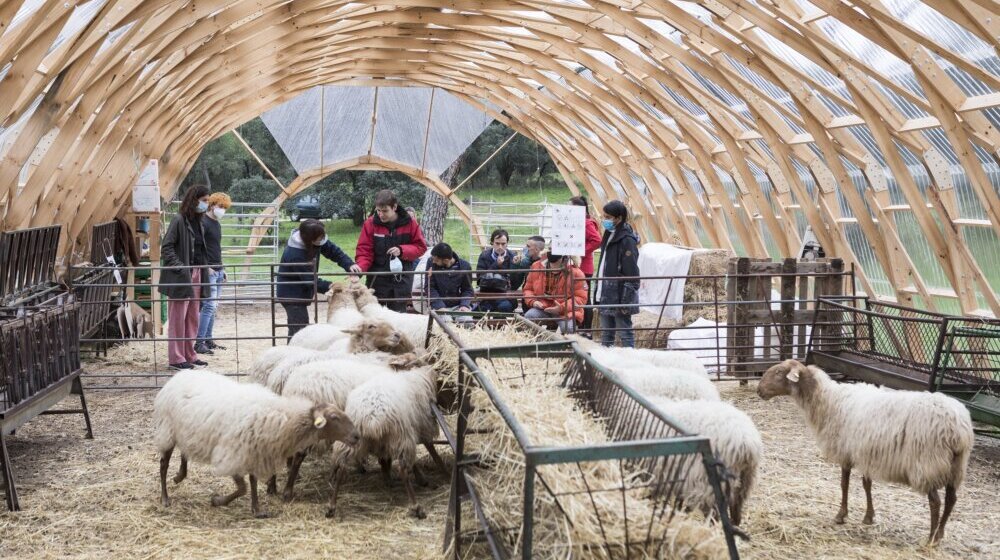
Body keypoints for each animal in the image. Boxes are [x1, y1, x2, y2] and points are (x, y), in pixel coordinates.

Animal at [152, 370, 360, 520]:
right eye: (334, 417)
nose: (357, 436)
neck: (285, 420)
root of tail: (178, 376)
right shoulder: (233, 454)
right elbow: (243, 487)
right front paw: (218, 501)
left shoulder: (254, 451)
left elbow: (251, 482)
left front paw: (256, 509)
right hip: (167, 430)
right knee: (163, 465)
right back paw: (165, 497)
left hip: (185, 431)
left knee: (184, 452)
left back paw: (179, 475)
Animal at [326, 364, 444, 520]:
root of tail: (371, 416)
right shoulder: (416, 428)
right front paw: (422, 478)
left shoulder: (383, 443)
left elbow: (384, 460)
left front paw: (387, 478)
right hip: (401, 436)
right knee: (403, 470)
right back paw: (416, 507)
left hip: (350, 439)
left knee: (341, 468)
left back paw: (331, 506)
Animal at [756, 360, 968, 544]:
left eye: (778, 372)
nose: (759, 390)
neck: (828, 400)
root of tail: (957, 428)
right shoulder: (865, 452)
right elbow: (867, 484)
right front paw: (868, 517)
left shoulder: (846, 451)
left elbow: (844, 484)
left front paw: (841, 515)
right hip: (956, 466)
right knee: (951, 499)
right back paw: (940, 533)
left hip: (927, 464)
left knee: (936, 502)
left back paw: (931, 539)